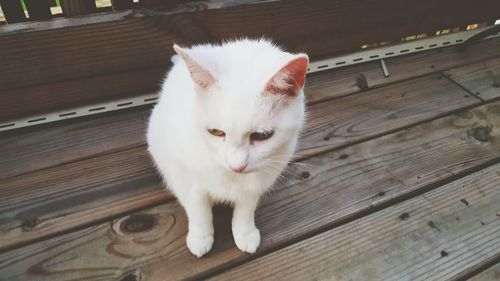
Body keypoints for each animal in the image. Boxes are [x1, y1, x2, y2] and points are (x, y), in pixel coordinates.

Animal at [146, 38, 306, 258]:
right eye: (216, 132)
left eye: (262, 136)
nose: (236, 166)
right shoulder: (184, 174)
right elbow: (198, 207)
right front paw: (201, 236)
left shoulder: (260, 179)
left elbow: (246, 207)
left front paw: (244, 232)